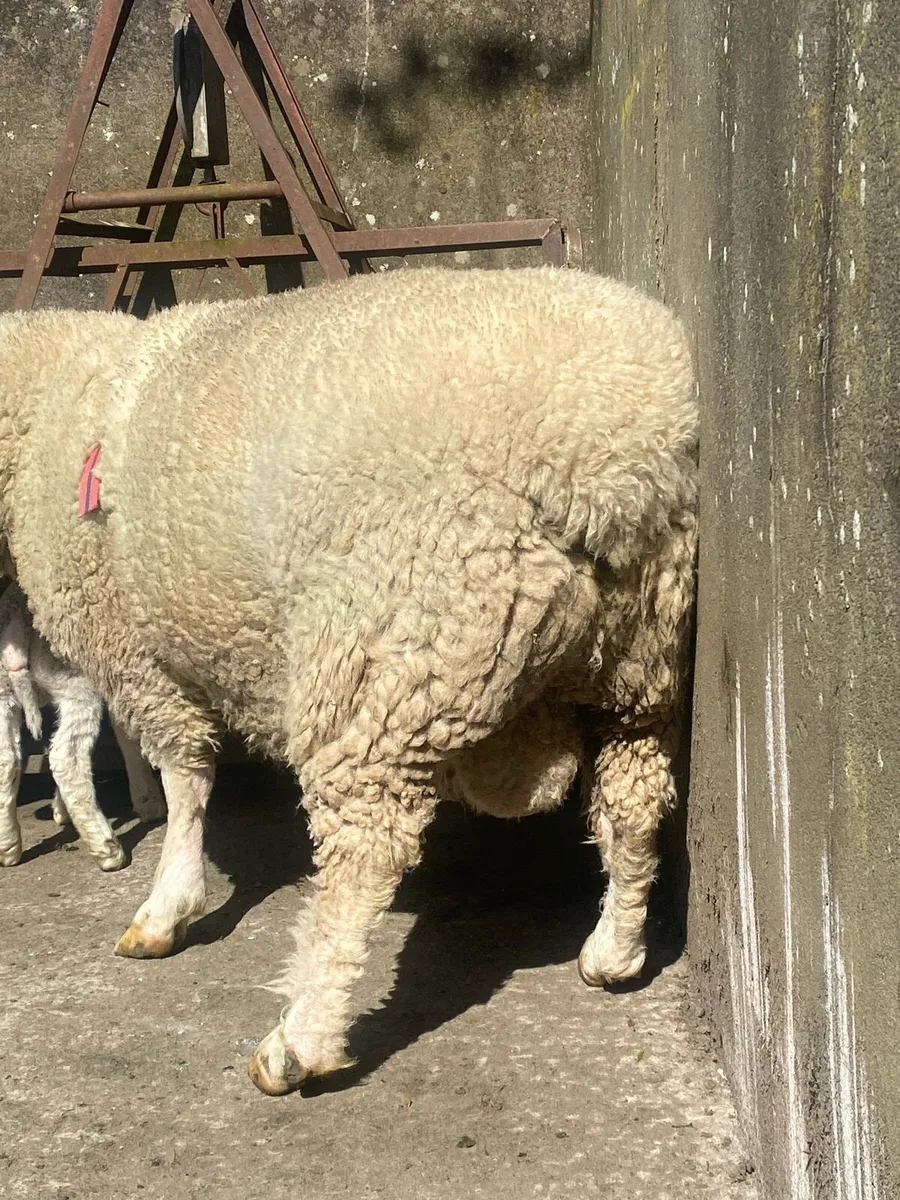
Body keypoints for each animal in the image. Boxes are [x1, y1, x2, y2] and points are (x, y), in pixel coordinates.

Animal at [0, 581, 165, 868]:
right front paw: (149, 802)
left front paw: (61, 810)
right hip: (74, 681)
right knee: (66, 756)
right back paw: (107, 849)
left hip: (3, 691)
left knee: (7, 759)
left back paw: (8, 848)